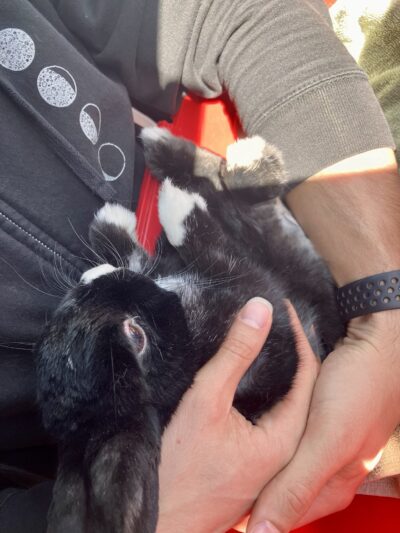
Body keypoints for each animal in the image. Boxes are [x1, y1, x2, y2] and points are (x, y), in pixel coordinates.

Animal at [35, 127, 344, 528]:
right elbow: (209, 245)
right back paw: (233, 163)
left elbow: (141, 256)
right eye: (135, 337)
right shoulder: (255, 292)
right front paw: (175, 205)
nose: (92, 280)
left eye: (64, 314)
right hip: (283, 260)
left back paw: (169, 149)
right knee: (243, 204)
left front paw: (110, 225)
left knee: (233, 196)